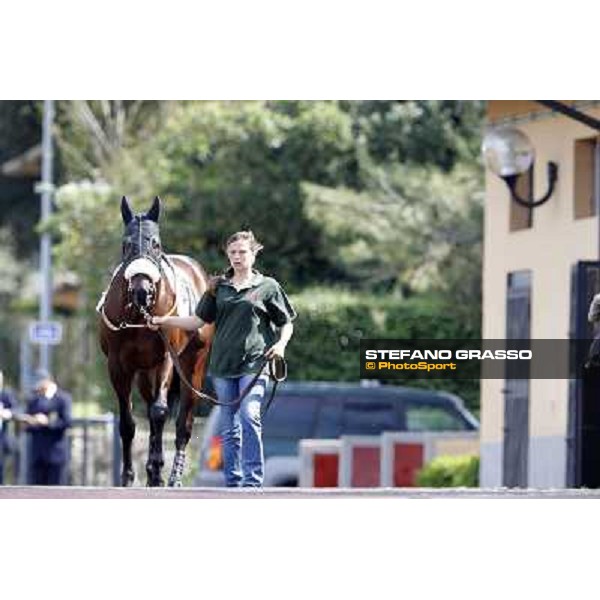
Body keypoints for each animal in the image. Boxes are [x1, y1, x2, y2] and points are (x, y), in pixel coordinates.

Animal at [98, 197, 211, 488]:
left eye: (156, 244)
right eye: (126, 245)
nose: (142, 290)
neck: (140, 315)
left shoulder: (166, 360)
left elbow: (160, 413)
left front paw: (158, 471)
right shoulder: (118, 366)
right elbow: (128, 422)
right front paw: (128, 477)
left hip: (193, 368)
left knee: (182, 423)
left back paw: (171, 476)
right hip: (144, 374)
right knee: (150, 409)